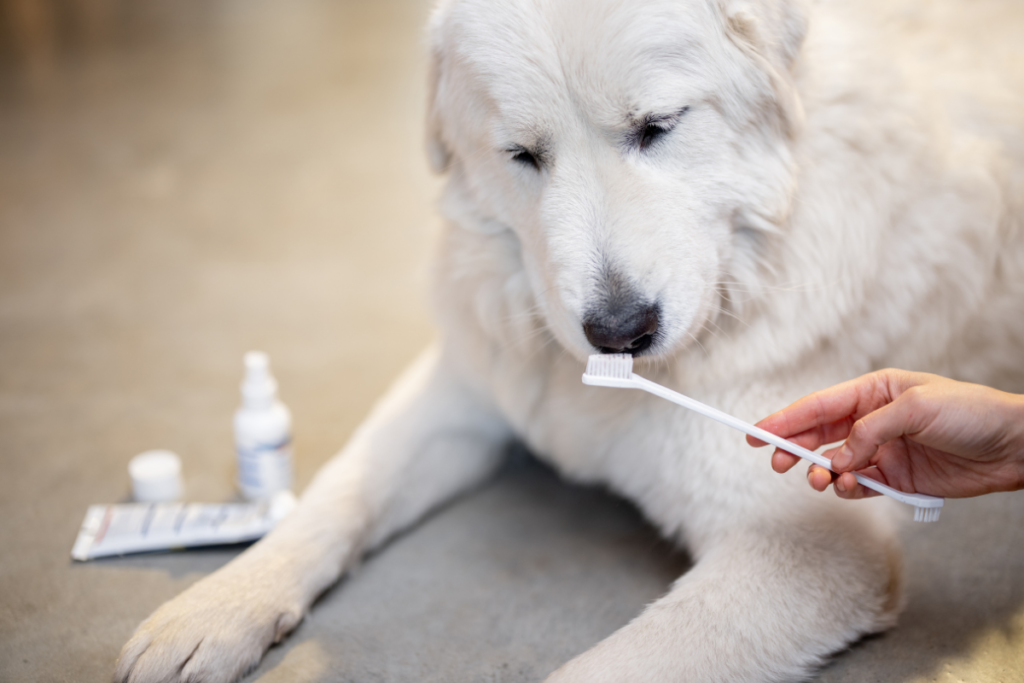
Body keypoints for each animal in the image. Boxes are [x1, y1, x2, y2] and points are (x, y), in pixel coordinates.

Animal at [114, 0, 1024, 679]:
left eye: (657, 125)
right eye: (523, 154)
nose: (619, 330)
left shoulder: (807, 547)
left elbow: (604, 666)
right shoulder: (463, 390)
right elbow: (337, 492)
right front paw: (213, 607)